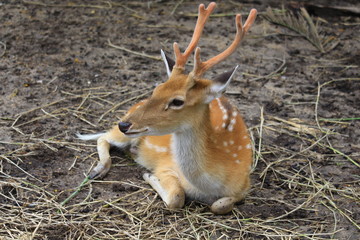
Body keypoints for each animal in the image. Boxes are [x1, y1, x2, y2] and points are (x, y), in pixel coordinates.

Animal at [78, 2, 258, 214]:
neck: (210, 185)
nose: (125, 124)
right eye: (157, 88)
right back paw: (99, 170)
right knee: (104, 137)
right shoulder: (167, 166)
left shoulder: (245, 185)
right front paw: (148, 175)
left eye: (177, 101)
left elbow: (220, 204)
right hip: (122, 132)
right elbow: (177, 197)